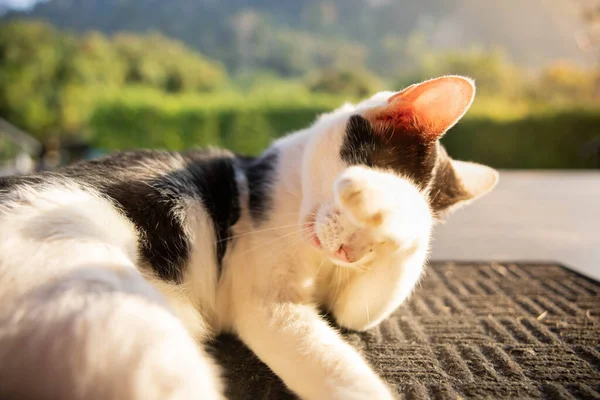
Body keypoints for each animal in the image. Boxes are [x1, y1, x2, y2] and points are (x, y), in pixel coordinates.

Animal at [0, 76, 496, 400]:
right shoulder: (265, 301)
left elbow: (362, 306)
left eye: (376, 245)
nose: (349, 252)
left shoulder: (351, 307)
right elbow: (334, 366)